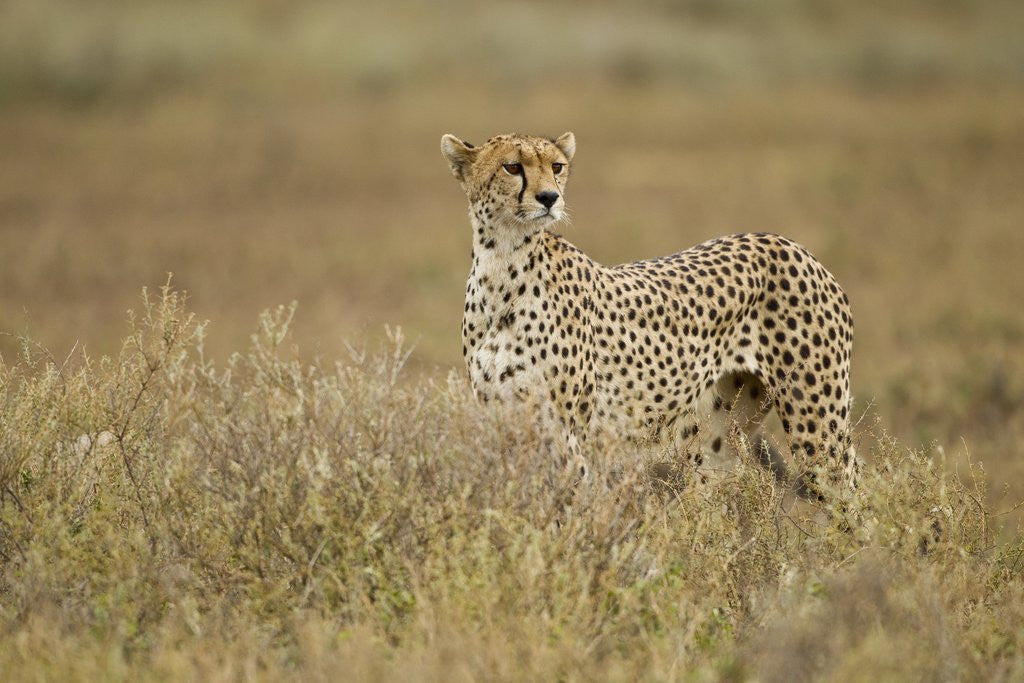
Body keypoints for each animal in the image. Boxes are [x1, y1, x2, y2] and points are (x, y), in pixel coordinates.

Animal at [441, 131, 857, 493]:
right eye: (513, 167)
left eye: (557, 166)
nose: (549, 197)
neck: (503, 265)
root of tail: (789, 243)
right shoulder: (502, 420)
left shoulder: (568, 438)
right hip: (720, 437)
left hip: (817, 426)